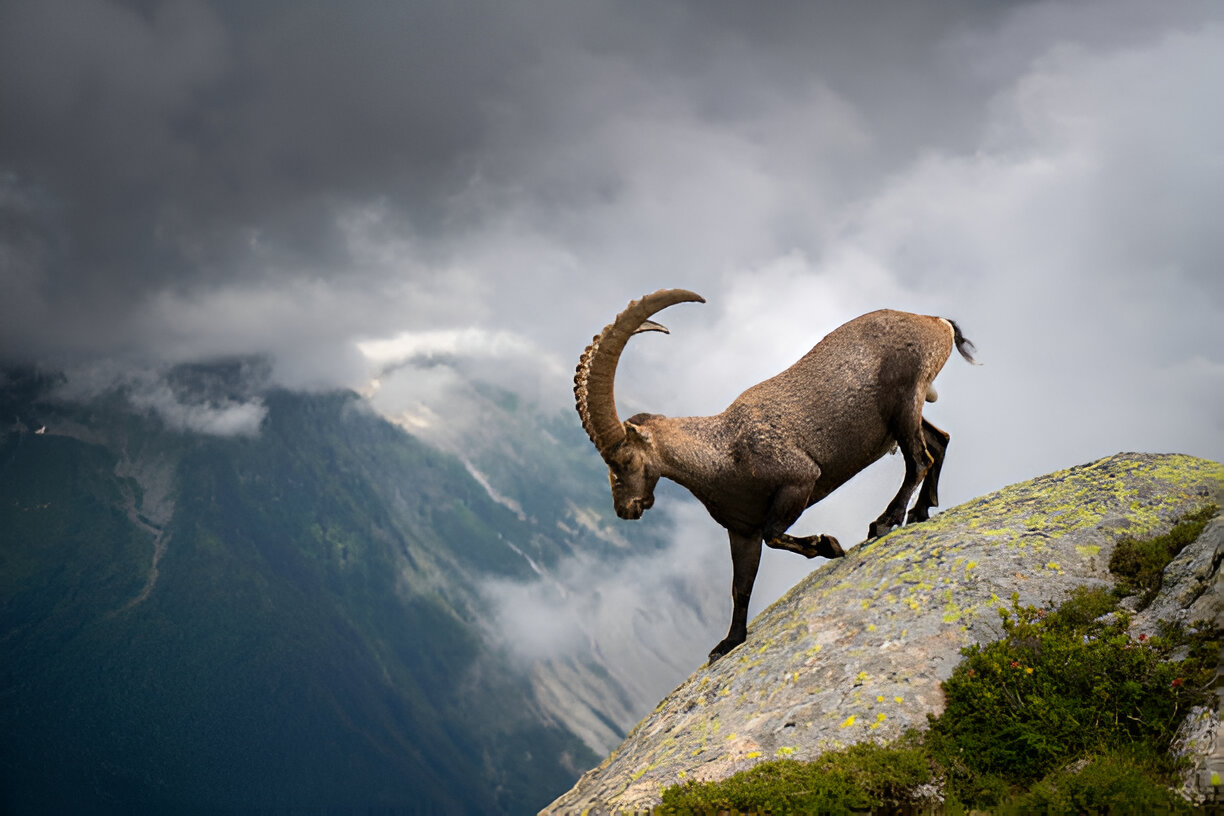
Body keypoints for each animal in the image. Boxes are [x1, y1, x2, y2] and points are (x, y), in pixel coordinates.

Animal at [573, 289, 977, 663]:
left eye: (624, 460)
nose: (625, 509)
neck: (725, 451)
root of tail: (935, 322)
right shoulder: (741, 530)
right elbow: (740, 586)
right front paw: (729, 642)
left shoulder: (799, 480)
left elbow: (774, 535)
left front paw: (828, 545)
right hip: (904, 415)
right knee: (939, 441)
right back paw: (921, 511)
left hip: (905, 401)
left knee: (919, 459)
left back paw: (885, 521)